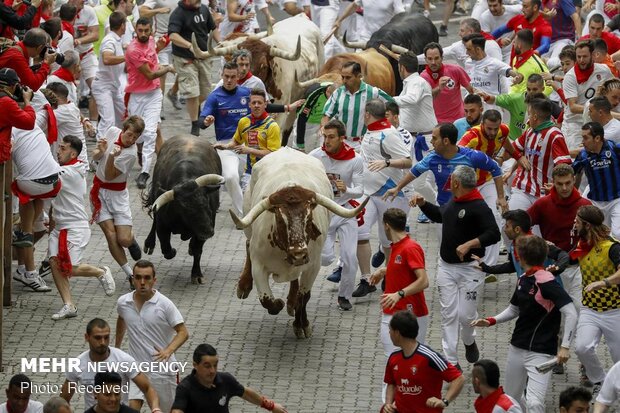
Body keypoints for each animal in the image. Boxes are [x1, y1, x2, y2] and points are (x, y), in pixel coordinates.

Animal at [142, 135, 223, 284]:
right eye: (186, 210)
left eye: (206, 204)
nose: (208, 232)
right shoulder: (162, 226)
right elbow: (167, 249)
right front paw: (172, 251)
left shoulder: (208, 222)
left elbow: (197, 250)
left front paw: (196, 274)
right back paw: (149, 244)